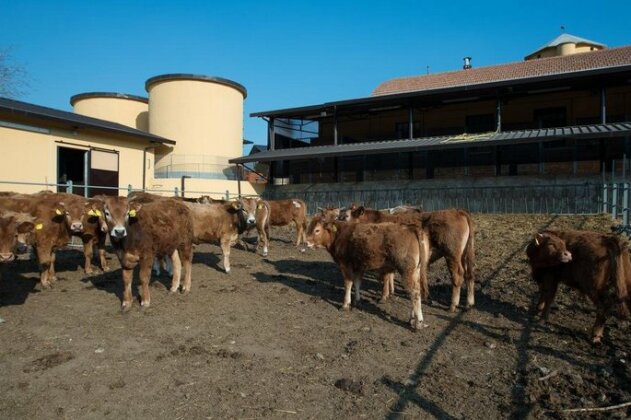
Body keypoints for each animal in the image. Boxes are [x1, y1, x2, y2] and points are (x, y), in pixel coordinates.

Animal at [346, 206, 474, 312]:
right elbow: (390, 275)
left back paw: (452, 305)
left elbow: (386, 276)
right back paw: (469, 303)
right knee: (469, 275)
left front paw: (384, 296)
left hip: (451, 254)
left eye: (346, 216)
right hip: (464, 255)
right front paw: (390, 292)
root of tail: (457, 211)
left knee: (458, 275)